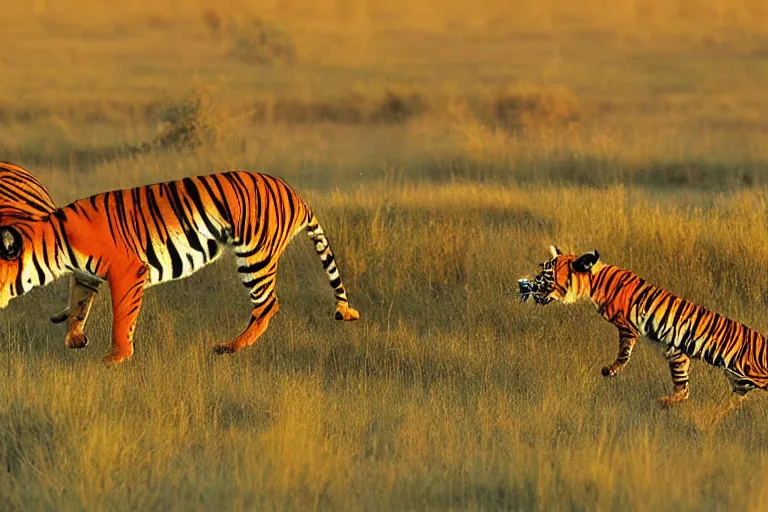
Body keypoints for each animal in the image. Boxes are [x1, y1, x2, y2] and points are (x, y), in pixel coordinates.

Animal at [0, 167, 362, 364]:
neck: (54, 244)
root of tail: (295, 193)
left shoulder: (128, 271)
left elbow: (122, 316)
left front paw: (116, 356)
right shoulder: (86, 275)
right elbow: (78, 304)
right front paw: (75, 338)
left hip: (255, 256)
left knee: (267, 305)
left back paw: (229, 347)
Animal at [520, 246, 768, 406]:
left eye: (546, 274)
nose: (528, 285)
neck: (591, 282)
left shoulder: (627, 326)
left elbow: (624, 353)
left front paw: (610, 370)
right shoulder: (676, 352)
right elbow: (682, 385)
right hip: (733, 379)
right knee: (691, 392)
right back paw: (665, 403)